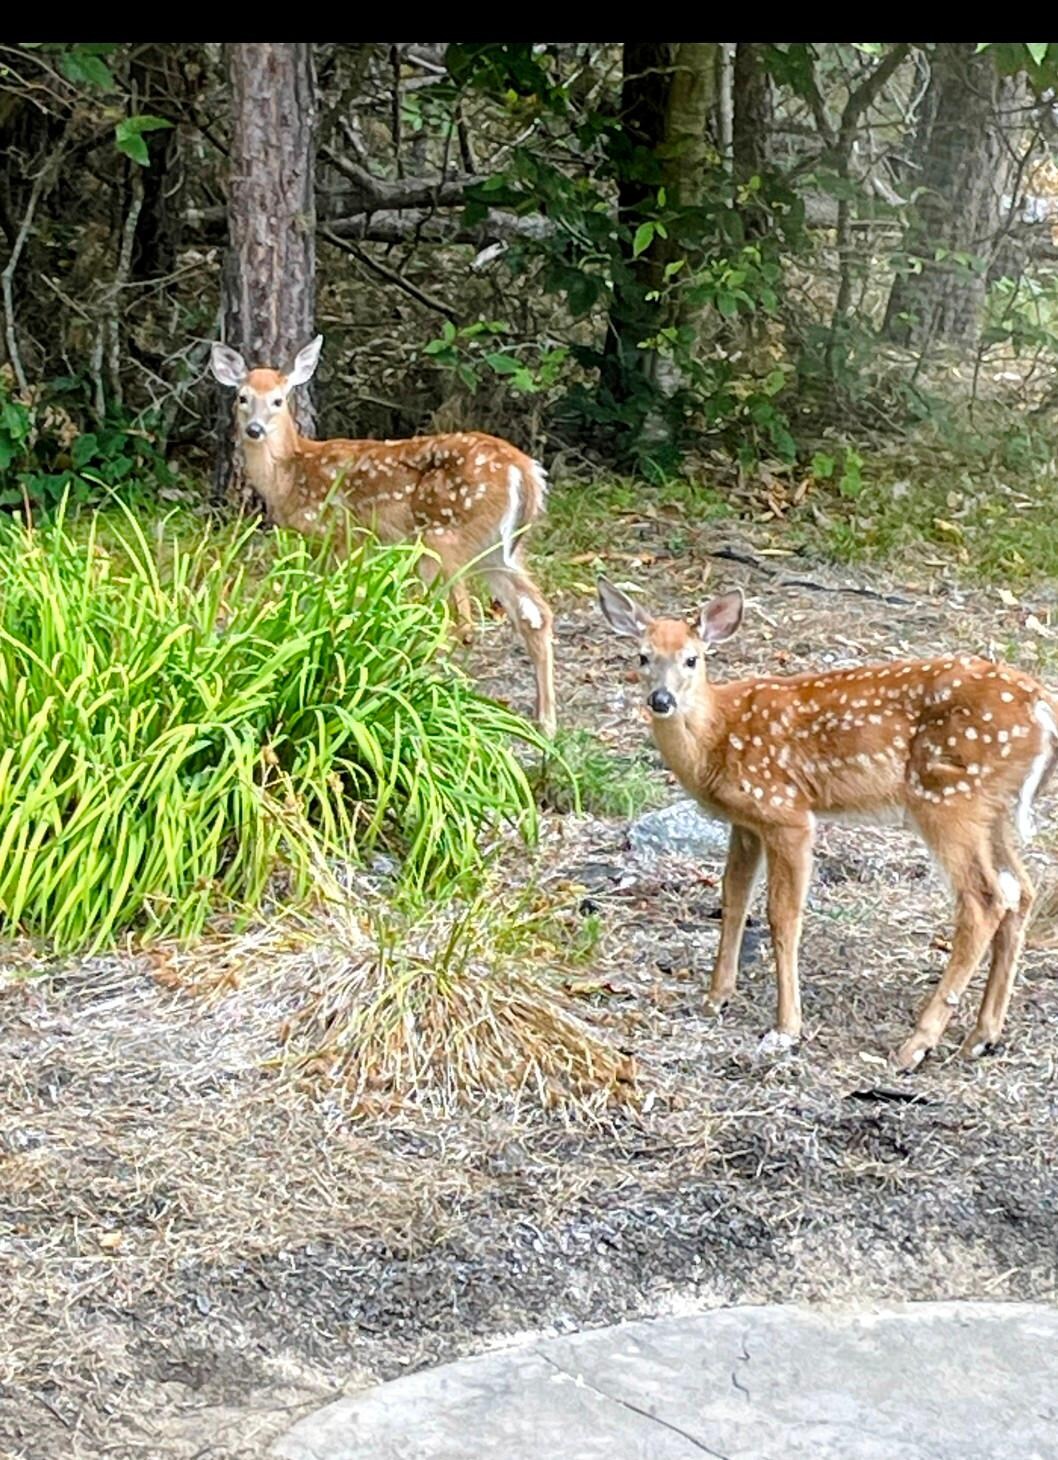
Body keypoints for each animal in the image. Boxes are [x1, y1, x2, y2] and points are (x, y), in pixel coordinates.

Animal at [210, 334, 556, 736]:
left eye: (278, 400)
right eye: (242, 397)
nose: (254, 430)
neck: (290, 475)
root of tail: (525, 471)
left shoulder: (342, 533)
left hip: (443, 536)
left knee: (461, 620)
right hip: (496, 551)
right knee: (534, 612)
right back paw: (545, 722)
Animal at [597, 576, 1058, 1071]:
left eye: (691, 658)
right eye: (642, 656)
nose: (661, 700)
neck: (717, 735)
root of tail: (1043, 708)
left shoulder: (786, 812)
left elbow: (783, 915)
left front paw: (785, 1028)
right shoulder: (746, 822)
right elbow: (733, 899)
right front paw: (716, 997)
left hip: (948, 798)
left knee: (985, 900)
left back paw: (916, 1045)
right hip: (990, 809)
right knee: (1021, 890)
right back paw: (981, 1036)